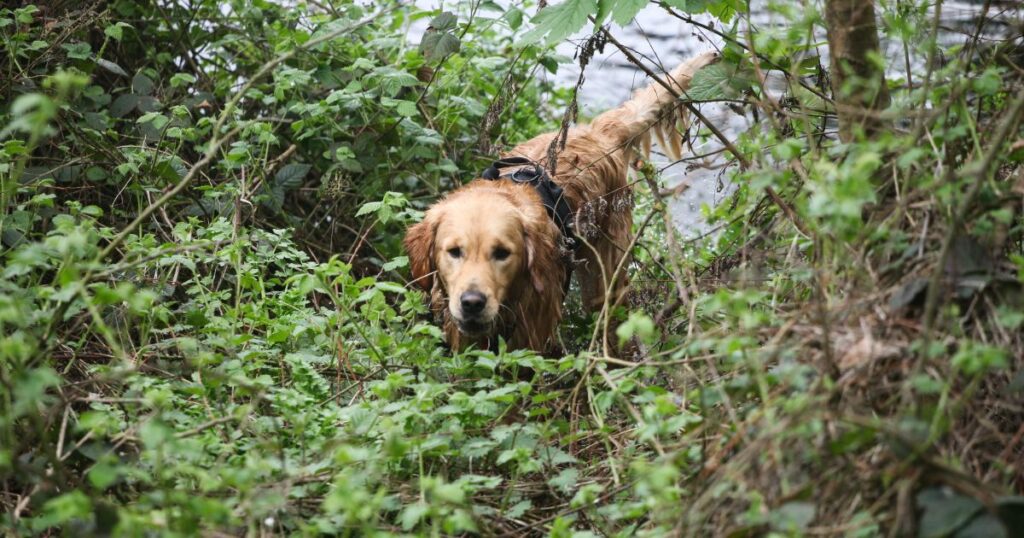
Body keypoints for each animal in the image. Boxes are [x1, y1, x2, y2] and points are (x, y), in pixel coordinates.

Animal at [403, 50, 716, 352]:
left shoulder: (533, 334)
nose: (472, 302)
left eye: (503, 253)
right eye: (454, 252)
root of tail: (598, 131)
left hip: (604, 274)